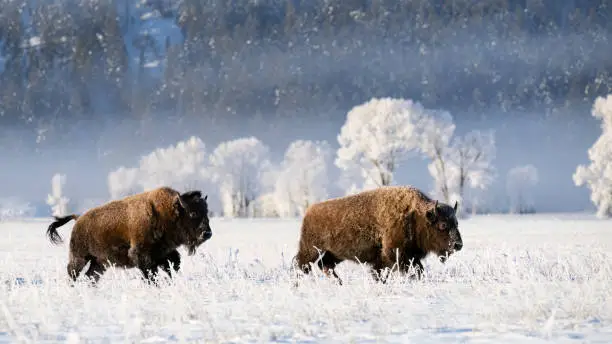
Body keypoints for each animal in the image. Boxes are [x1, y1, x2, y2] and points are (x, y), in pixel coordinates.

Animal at [46, 187, 213, 284]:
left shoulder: (165, 253)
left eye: (206, 212)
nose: (207, 233)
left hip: (100, 263)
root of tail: (78, 218)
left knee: (91, 276)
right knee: (73, 273)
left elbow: (172, 265)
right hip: (80, 257)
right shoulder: (142, 255)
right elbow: (151, 273)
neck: (167, 213)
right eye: (193, 213)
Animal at [294, 185, 462, 284]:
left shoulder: (396, 257)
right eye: (442, 225)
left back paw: (339, 283)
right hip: (311, 251)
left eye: (456, 223)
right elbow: (413, 270)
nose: (458, 245)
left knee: (324, 265)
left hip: (334, 254)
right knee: (301, 265)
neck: (416, 216)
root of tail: (309, 211)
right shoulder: (396, 254)